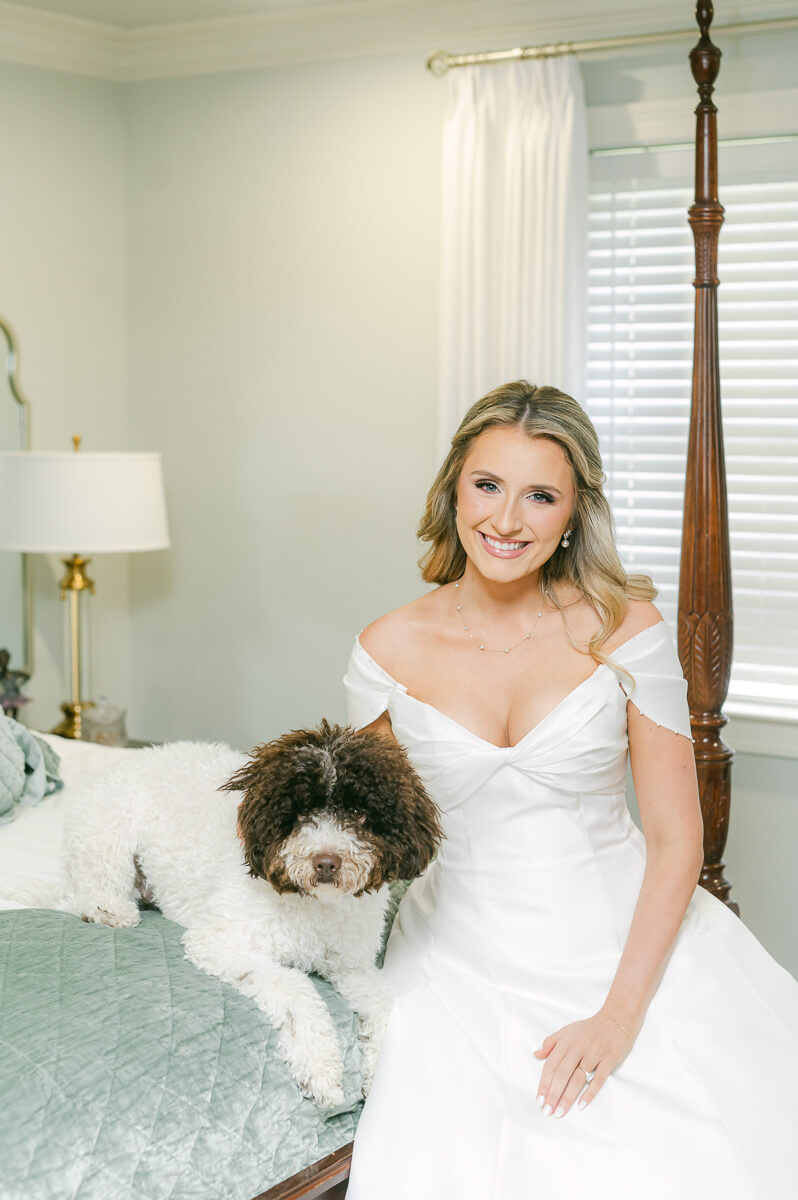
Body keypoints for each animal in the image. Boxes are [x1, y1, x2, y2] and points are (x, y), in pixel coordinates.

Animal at [60, 720, 441, 1104]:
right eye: (301, 813)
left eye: (360, 814)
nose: (326, 863)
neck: (315, 907)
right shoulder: (219, 943)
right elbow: (296, 989)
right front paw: (321, 1071)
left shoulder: (352, 967)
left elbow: (385, 1004)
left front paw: (381, 1077)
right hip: (109, 836)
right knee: (88, 886)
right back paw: (109, 909)